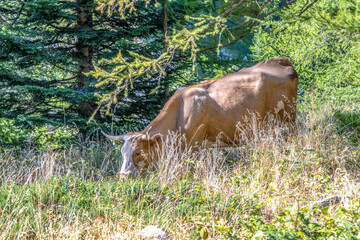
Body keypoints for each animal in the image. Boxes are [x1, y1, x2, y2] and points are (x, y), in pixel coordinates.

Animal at [102, 57, 298, 178]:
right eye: (122, 152)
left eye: (137, 152)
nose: (123, 176)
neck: (180, 113)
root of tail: (280, 61)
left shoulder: (193, 147)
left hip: (288, 118)